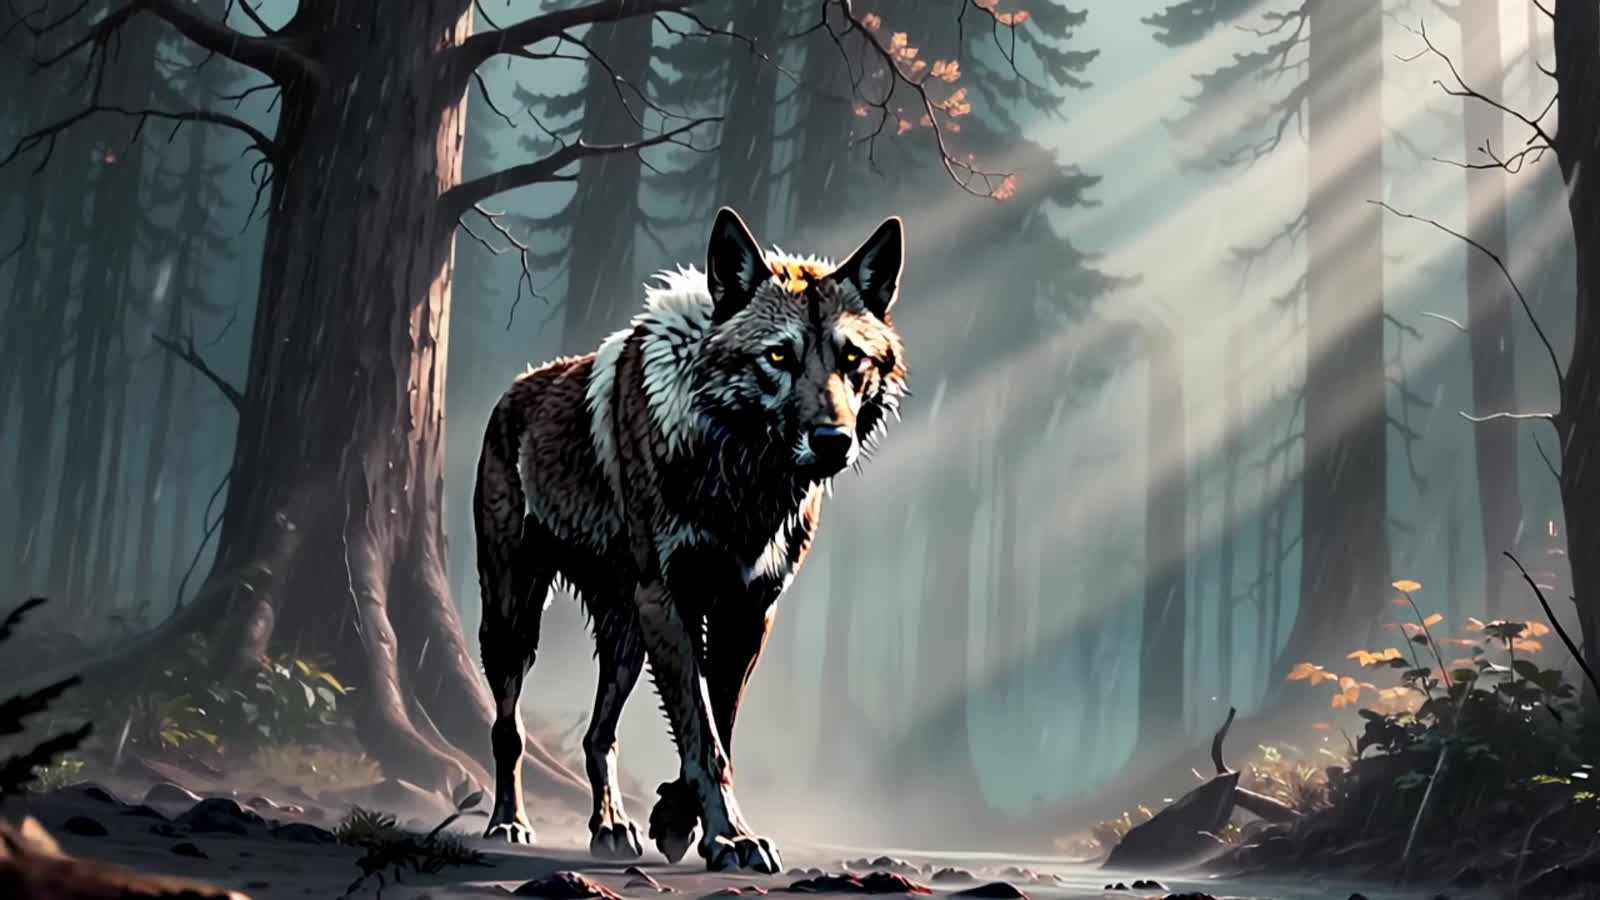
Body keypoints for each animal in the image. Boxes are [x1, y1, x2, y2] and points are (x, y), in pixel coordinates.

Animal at [472, 208, 909, 873]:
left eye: (852, 359)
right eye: (778, 355)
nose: (833, 440)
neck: (740, 474)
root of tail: (510, 392)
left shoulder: (747, 610)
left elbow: (716, 724)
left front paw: (679, 822)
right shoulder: (670, 600)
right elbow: (703, 735)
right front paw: (730, 838)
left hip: (625, 640)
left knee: (597, 735)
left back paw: (611, 826)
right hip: (515, 622)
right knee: (509, 729)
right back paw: (508, 823)